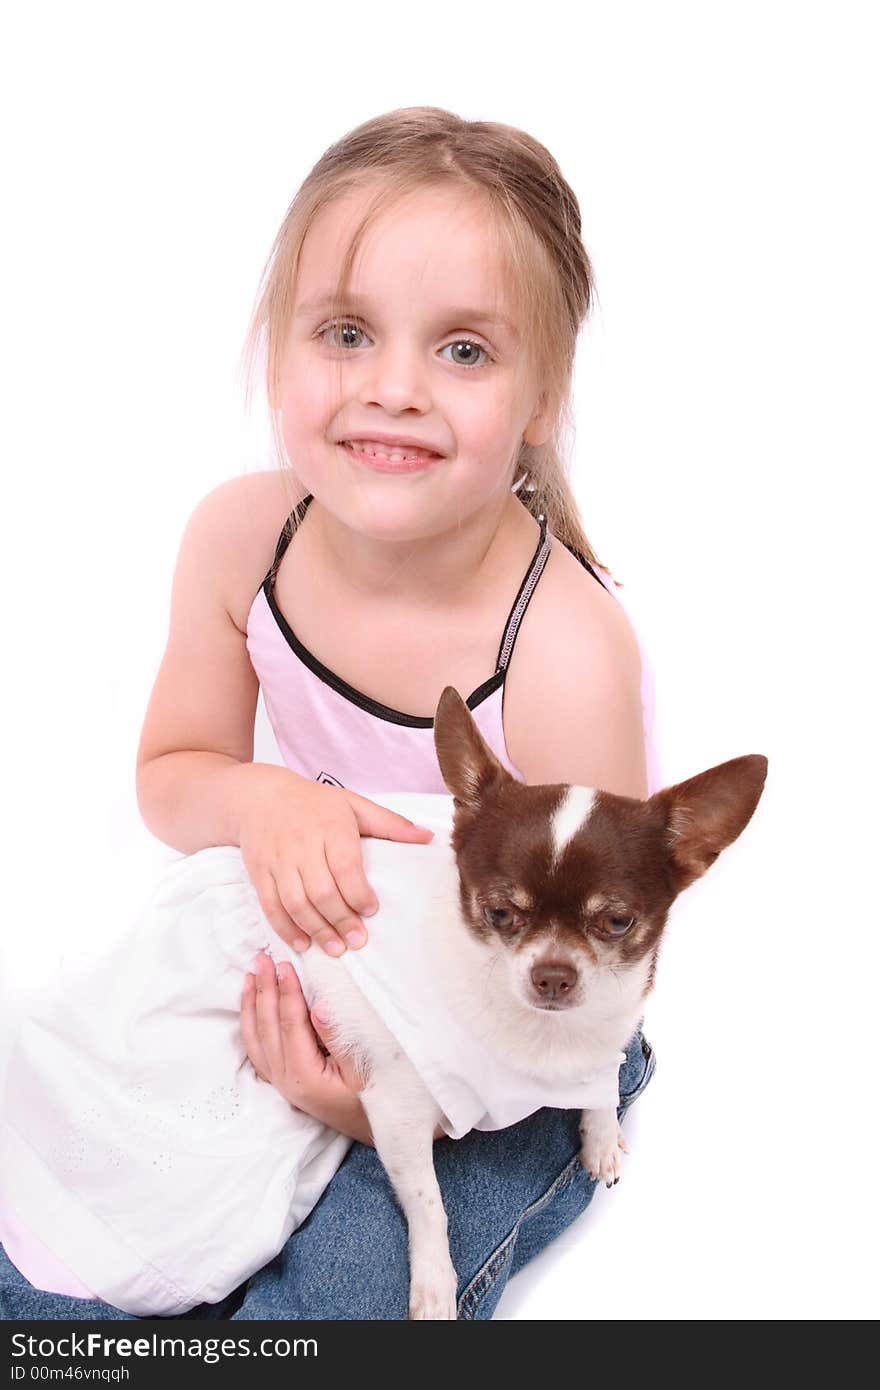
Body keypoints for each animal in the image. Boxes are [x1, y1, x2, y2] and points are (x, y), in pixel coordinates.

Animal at [294, 689, 761, 1317]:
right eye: (499, 913)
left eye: (617, 922)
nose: (554, 975)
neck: (546, 1036)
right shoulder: (397, 1112)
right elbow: (429, 1202)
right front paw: (436, 1283)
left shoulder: (607, 1037)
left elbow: (602, 1085)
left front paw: (601, 1137)